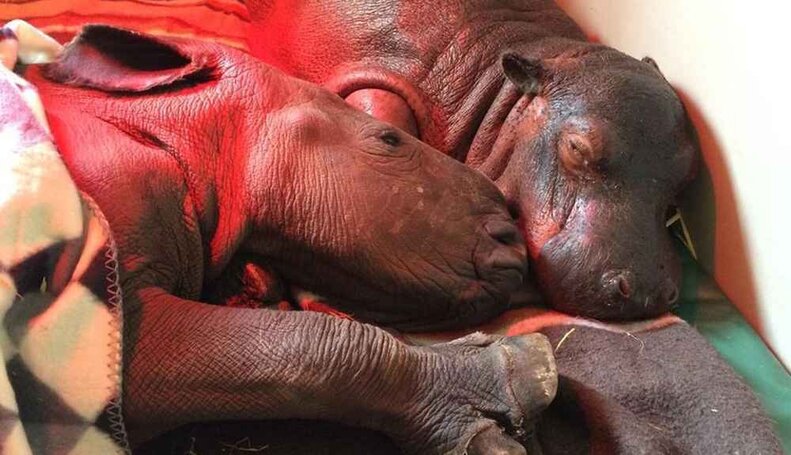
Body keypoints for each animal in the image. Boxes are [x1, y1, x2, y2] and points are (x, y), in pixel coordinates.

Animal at [18, 25, 557, 454]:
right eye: (389, 140)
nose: (512, 238)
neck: (172, 130)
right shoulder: (100, 330)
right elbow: (307, 348)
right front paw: (515, 374)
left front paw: (257, 287)